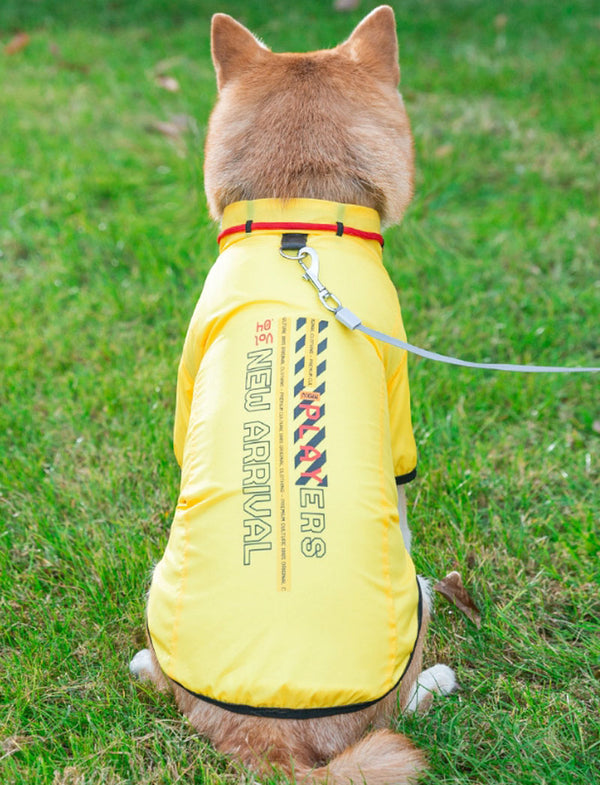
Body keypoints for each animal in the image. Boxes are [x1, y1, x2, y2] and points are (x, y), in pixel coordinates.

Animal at [131, 7, 454, 784]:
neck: (294, 218)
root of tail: (275, 747)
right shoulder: (398, 403)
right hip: (419, 595)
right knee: (403, 707)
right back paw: (436, 683)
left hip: (158, 580)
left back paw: (143, 665)